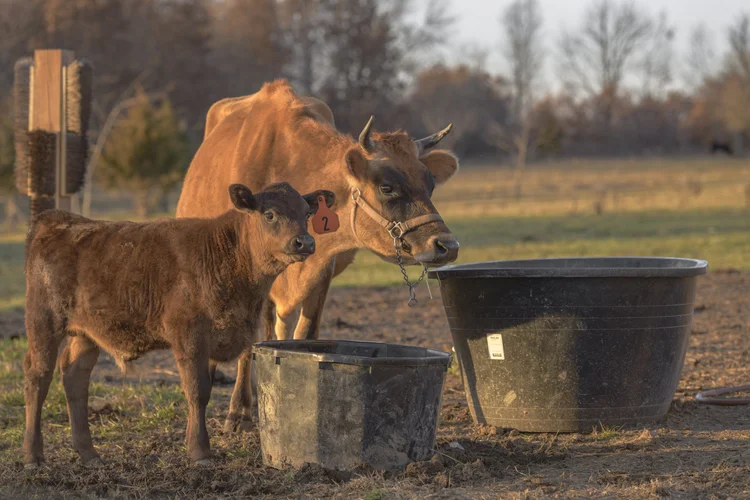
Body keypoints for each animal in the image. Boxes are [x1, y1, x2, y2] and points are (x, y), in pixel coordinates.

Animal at [23, 182, 335, 466]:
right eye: (269, 214)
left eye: (307, 213)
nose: (305, 242)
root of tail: (58, 221)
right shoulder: (189, 336)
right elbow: (197, 391)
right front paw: (200, 451)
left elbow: (207, 388)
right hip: (43, 322)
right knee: (38, 377)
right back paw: (33, 455)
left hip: (88, 333)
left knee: (75, 375)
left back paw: (89, 454)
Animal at [176, 80, 460, 432]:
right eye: (387, 187)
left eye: (430, 184)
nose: (447, 245)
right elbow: (245, 344)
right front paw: (238, 411)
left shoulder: (323, 268)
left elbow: (304, 334)